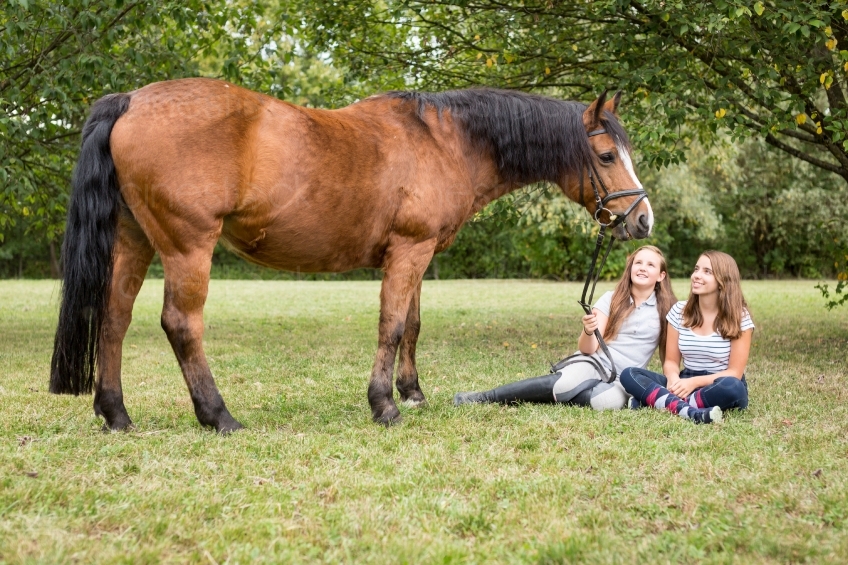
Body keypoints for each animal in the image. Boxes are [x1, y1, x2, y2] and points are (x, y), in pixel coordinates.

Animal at [49, 78, 652, 432]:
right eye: (605, 155)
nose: (642, 219)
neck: (444, 141)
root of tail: (130, 100)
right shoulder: (409, 251)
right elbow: (391, 325)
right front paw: (384, 405)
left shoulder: (418, 255)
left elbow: (412, 325)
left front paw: (412, 393)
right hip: (187, 245)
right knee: (180, 323)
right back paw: (218, 416)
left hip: (133, 240)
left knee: (114, 319)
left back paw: (116, 413)